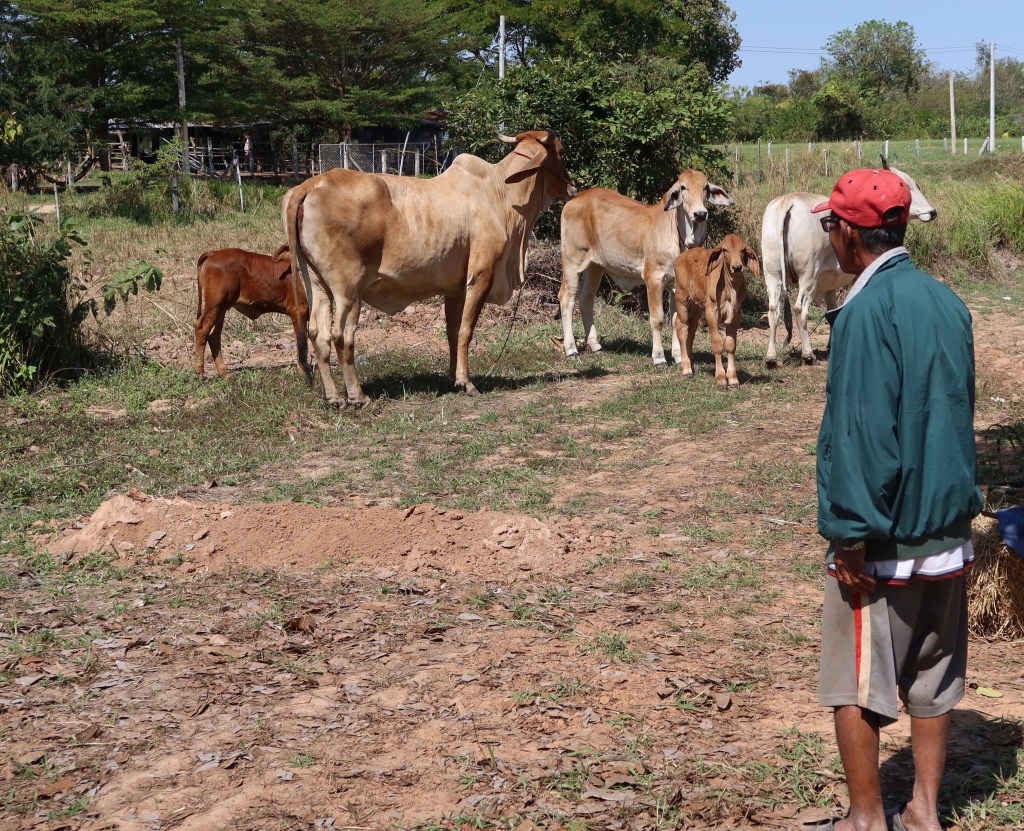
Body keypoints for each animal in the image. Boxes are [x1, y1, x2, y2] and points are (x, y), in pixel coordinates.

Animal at [193, 245, 310, 379]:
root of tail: (213, 253)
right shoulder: (299, 310)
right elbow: (302, 342)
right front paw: (303, 372)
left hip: (221, 307)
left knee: (214, 336)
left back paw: (224, 373)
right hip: (215, 304)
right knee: (202, 328)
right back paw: (200, 372)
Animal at [282, 129, 576, 407]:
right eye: (561, 152)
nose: (573, 188)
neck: (500, 193)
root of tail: (313, 183)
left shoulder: (455, 289)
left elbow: (453, 332)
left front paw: (455, 378)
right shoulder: (481, 277)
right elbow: (466, 331)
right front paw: (468, 383)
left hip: (316, 285)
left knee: (318, 335)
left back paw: (334, 397)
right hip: (348, 290)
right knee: (342, 336)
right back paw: (357, 396)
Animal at [557, 170, 734, 367]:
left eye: (705, 187)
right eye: (683, 187)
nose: (700, 214)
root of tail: (577, 198)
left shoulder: (675, 285)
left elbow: (676, 319)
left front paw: (679, 357)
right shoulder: (653, 279)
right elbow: (657, 319)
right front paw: (659, 358)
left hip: (595, 266)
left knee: (586, 299)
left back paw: (595, 345)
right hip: (573, 261)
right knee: (567, 298)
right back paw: (571, 349)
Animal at [673, 233, 760, 389]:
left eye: (742, 250)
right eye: (725, 249)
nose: (737, 267)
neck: (730, 288)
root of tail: (682, 256)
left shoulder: (735, 315)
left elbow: (731, 345)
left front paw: (733, 380)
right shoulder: (711, 313)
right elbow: (718, 344)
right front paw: (721, 379)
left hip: (696, 306)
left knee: (691, 329)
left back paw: (691, 363)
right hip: (681, 298)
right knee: (681, 327)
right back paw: (686, 368)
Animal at [761, 162, 937, 367]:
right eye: (907, 185)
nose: (932, 212)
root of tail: (788, 201)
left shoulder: (829, 284)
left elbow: (831, 310)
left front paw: (831, 345)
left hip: (772, 274)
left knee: (773, 310)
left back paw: (771, 357)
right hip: (808, 275)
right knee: (800, 310)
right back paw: (808, 354)